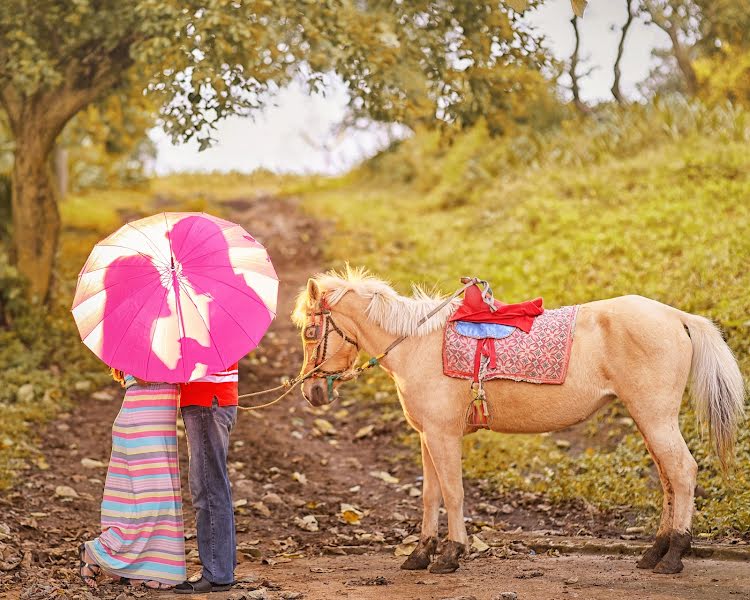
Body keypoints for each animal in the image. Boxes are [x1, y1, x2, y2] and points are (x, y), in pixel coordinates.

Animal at [292, 268, 748, 576]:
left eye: (311, 331)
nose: (311, 392)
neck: (417, 346)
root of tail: (678, 317)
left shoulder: (443, 435)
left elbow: (453, 493)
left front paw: (451, 555)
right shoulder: (427, 437)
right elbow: (430, 496)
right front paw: (420, 554)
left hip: (655, 417)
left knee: (683, 472)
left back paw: (674, 556)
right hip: (648, 419)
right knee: (669, 479)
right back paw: (654, 552)